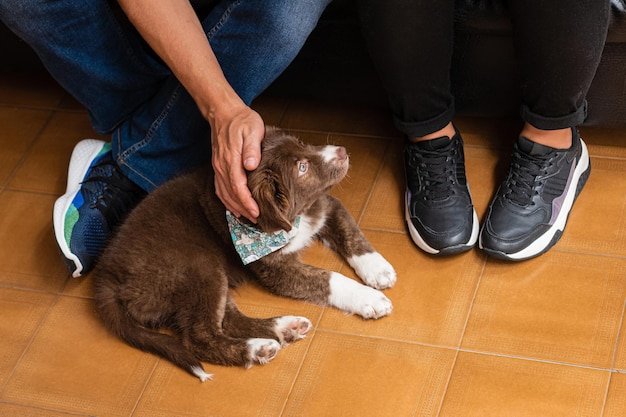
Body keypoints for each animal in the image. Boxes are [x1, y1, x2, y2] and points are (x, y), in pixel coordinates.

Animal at [91, 126, 394, 380]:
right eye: (302, 168)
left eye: (301, 143)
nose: (341, 151)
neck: (294, 217)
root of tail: (107, 274)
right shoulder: (275, 270)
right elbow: (328, 278)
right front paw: (369, 299)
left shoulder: (326, 206)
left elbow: (351, 232)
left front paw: (378, 269)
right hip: (198, 267)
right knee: (200, 336)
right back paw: (255, 349)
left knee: (228, 320)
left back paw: (284, 329)